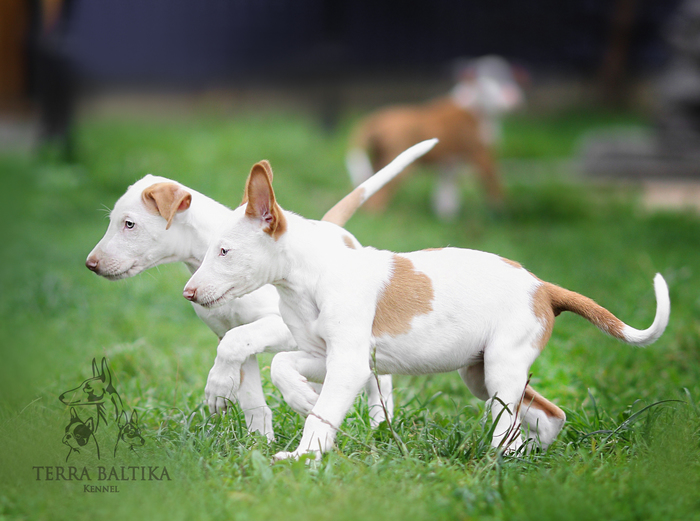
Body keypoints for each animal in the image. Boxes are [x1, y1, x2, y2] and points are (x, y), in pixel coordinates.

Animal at [86, 138, 438, 438]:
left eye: (129, 224)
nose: (90, 264)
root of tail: (332, 228)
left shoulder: (277, 327)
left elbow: (235, 346)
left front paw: (217, 388)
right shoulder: (230, 335)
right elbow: (248, 387)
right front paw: (258, 441)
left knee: (381, 378)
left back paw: (379, 423)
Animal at [180, 159, 668, 460]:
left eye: (223, 251)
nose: (188, 293)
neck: (311, 277)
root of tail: (542, 286)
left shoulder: (349, 364)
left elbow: (322, 414)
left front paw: (305, 457)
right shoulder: (328, 356)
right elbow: (282, 364)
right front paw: (303, 398)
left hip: (502, 369)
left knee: (509, 429)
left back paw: (500, 462)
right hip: (479, 374)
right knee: (550, 416)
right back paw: (529, 458)